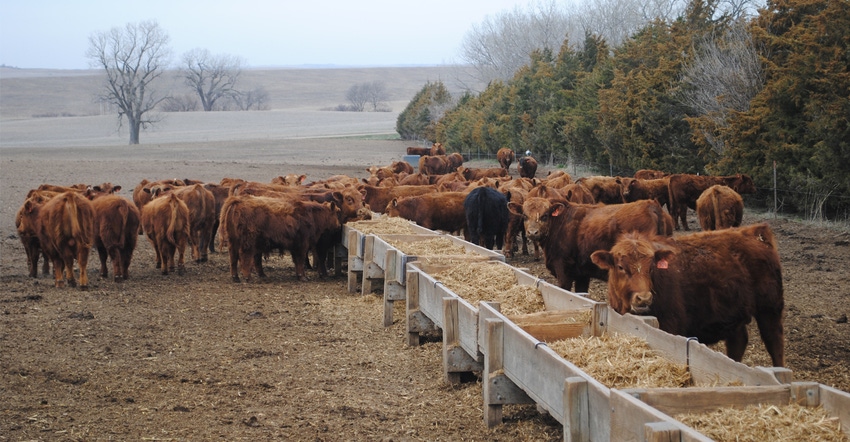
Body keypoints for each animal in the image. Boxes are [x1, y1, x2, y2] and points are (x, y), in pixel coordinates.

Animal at [588, 224, 780, 366]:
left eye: (651, 267)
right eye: (621, 267)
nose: (644, 298)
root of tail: (754, 232)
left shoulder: (670, 325)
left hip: (770, 308)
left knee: (774, 342)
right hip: (735, 313)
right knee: (738, 342)